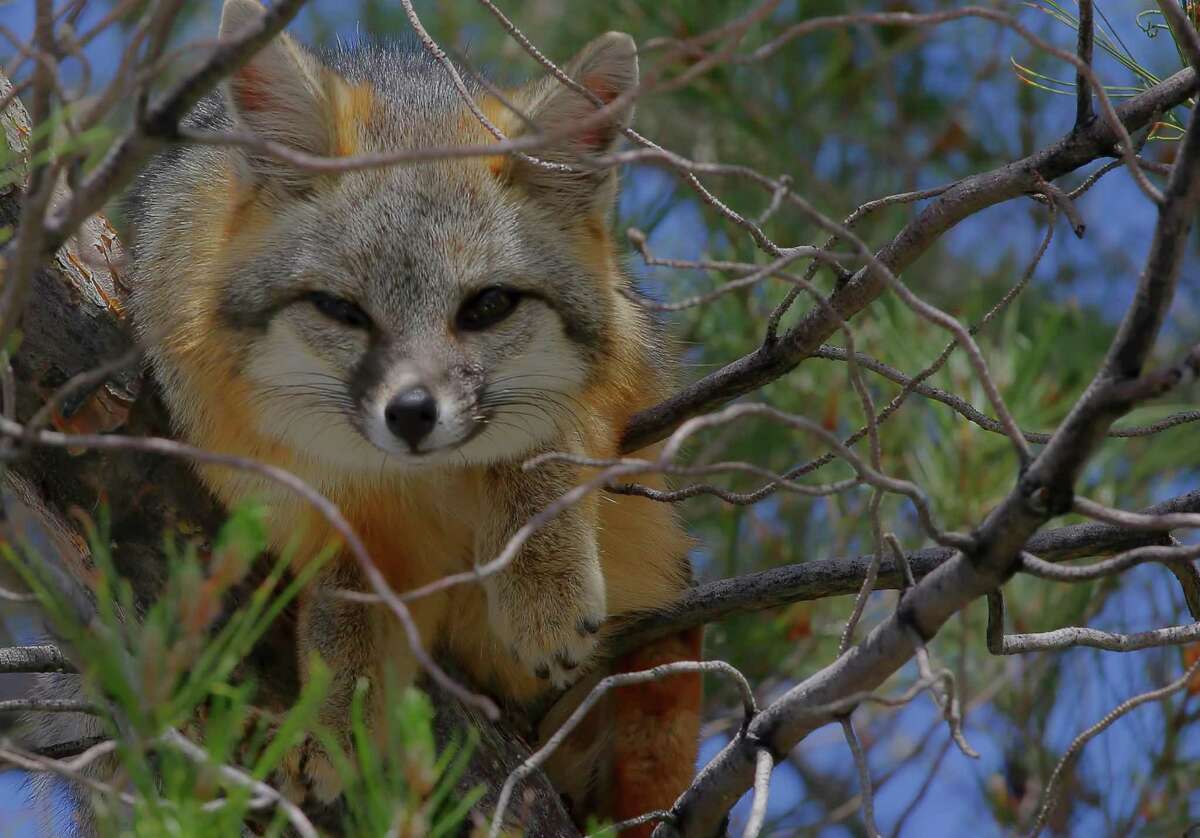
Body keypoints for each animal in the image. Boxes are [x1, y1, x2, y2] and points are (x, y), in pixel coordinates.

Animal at [110, 0, 702, 832]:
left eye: (487, 307)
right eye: (341, 311)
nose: (413, 415)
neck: (421, 487)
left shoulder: (625, 382)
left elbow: (544, 447)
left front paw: (540, 586)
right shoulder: (293, 492)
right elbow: (345, 604)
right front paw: (334, 721)